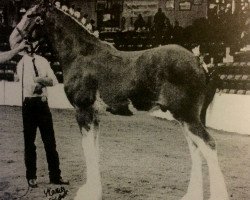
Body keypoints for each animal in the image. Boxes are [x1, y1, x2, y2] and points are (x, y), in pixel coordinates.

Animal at [9, 0, 229, 199]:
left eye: (29, 15)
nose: (12, 41)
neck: (81, 55)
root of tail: (199, 63)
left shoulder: (83, 111)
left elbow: (87, 150)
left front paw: (89, 193)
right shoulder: (94, 115)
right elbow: (95, 150)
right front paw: (94, 190)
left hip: (187, 117)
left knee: (209, 146)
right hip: (186, 119)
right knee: (196, 149)